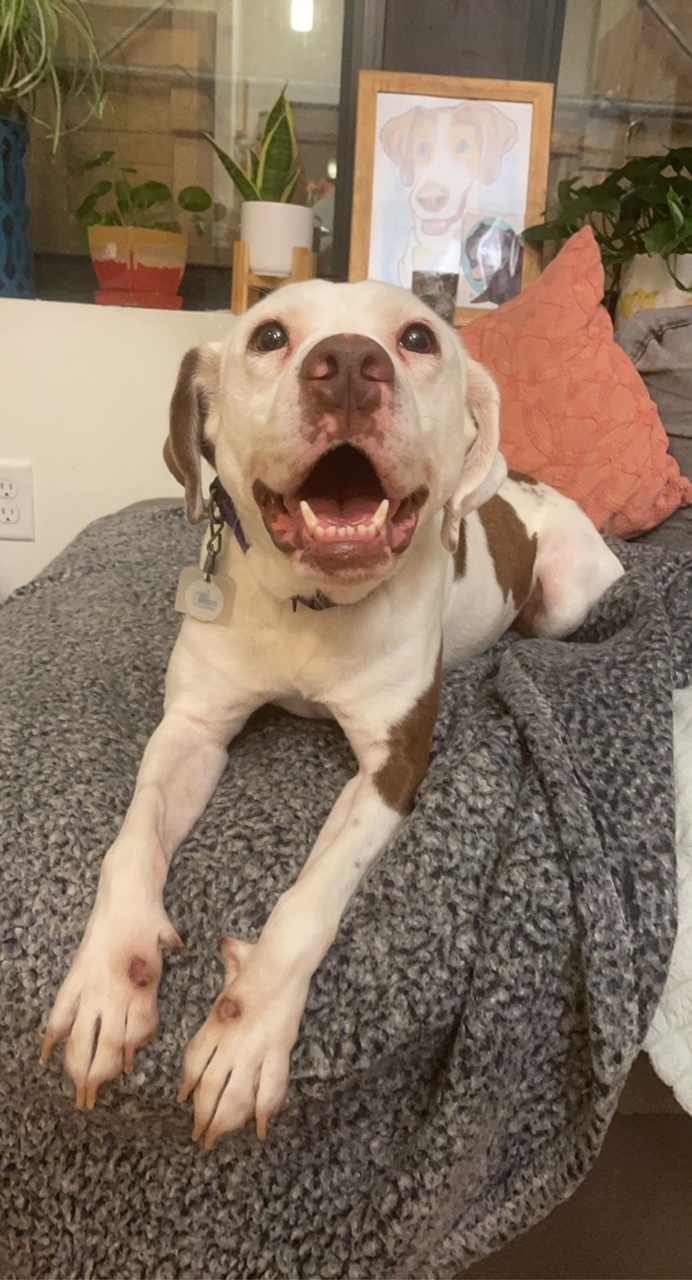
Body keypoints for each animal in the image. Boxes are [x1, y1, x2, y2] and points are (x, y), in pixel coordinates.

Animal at [41, 282, 626, 1152]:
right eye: (268, 335)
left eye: (418, 337)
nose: (349, 364)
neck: (312, 603)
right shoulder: (191, 728)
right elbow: (133, 841)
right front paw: (111, 979)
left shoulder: (393, 765)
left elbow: (310, 899)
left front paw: (245, 1039)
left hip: (566, 599)